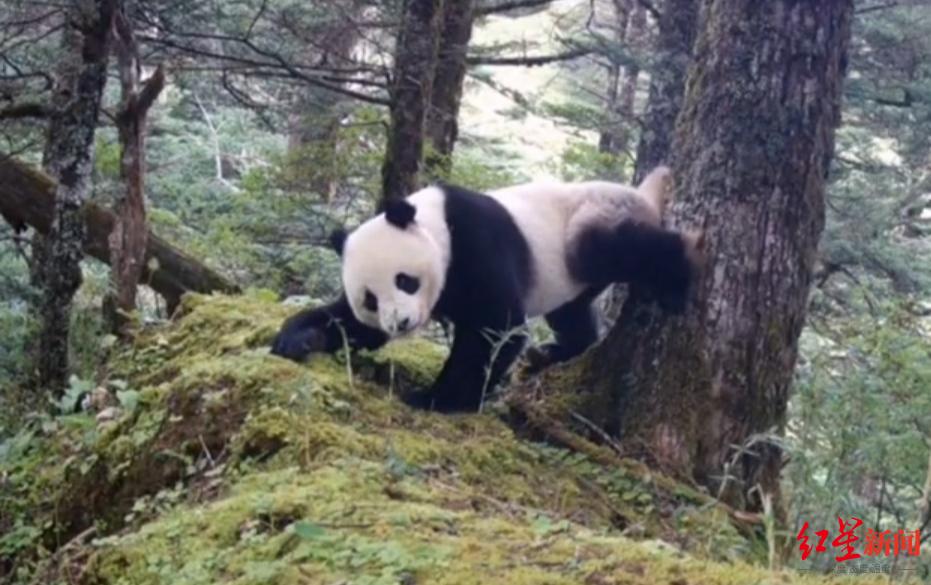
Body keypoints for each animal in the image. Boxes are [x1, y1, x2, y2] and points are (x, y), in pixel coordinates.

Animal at [274, 167, 704, 412]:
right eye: (370, 299)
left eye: (404, 279)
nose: (401, 323)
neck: (435, 222)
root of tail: (641, 194)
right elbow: (351, 326)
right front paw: (296, 339)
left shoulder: (474, 243)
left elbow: (496, 329)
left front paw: (438, 399)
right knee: (571, 314)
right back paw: (552, 353)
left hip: (592, 216)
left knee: (617, 247)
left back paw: (678, 273)